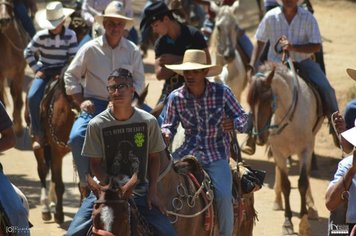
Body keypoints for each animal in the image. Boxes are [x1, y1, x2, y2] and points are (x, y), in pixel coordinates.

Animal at [246, 62, 322, 236]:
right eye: (249, 102)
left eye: (267, 100)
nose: (260, 138)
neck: (289, 118)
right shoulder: (278, 152)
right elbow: (286, 185)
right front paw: (288, 223)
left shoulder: (306, 150)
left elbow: (302, 183)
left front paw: (304, 223)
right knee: (279, 173)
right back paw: (277, 200)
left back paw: (312, 207)